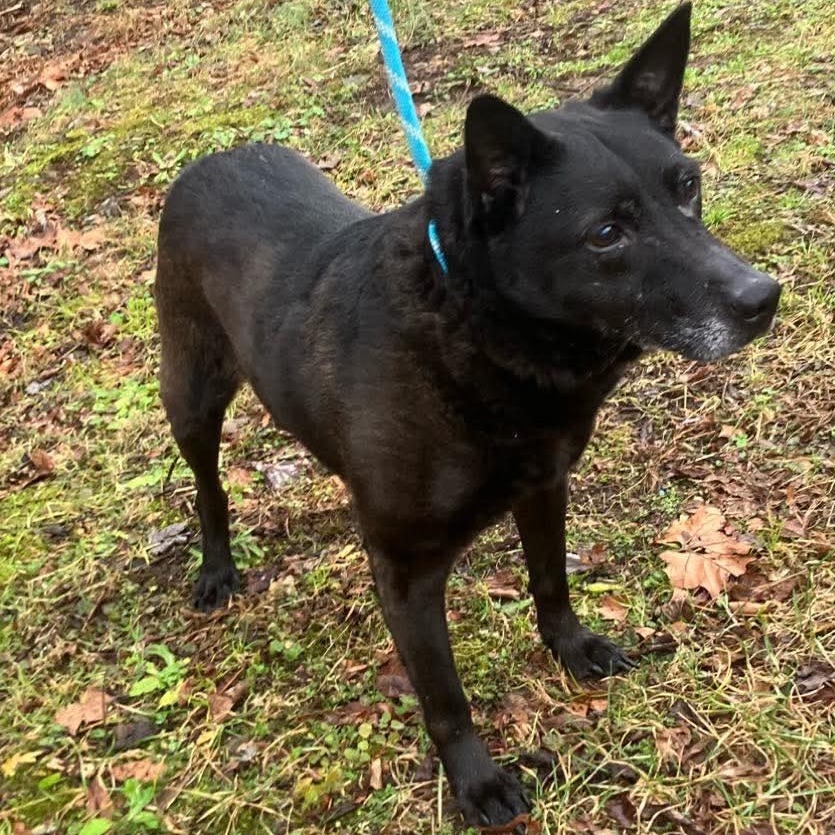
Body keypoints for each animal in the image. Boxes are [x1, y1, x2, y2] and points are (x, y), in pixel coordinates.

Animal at [155, 4, 784, 828]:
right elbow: (445, 698)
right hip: (190, 395)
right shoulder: (406, 574)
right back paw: (216, 568)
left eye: (688, 187)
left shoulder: (543, 487)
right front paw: (477, 782)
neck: (472, 325)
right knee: (208, 485)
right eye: (605, 233)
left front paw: (571, 649)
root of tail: (207, 161)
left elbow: (550, 582)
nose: (762, 297)